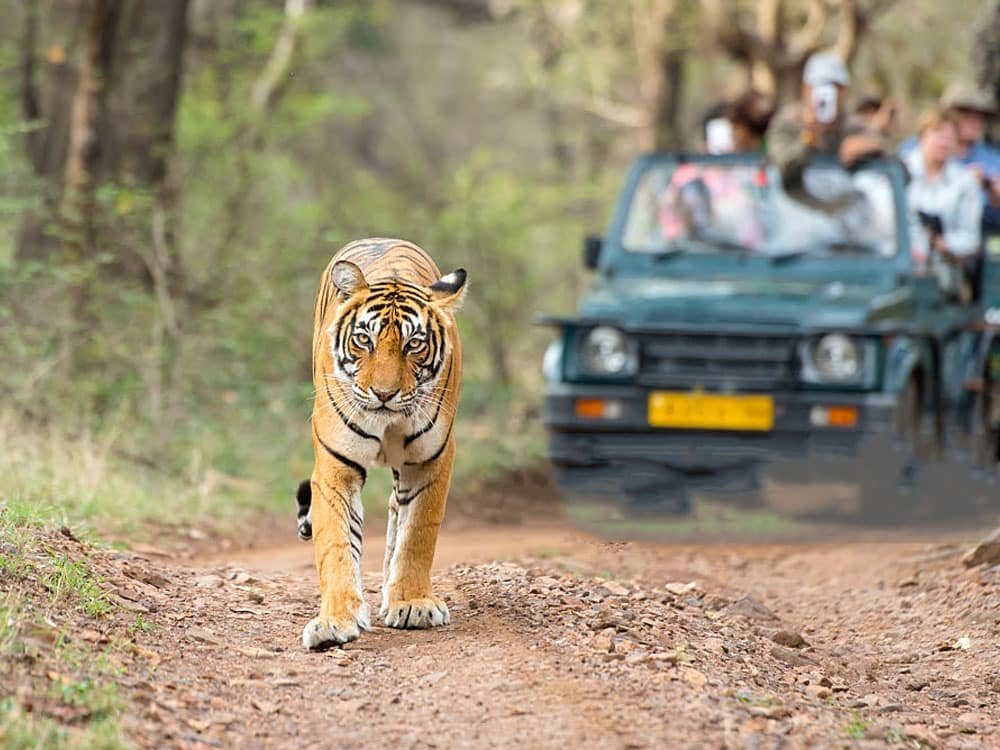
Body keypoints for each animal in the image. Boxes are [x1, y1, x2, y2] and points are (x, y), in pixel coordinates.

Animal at [296, 239, 468, 652]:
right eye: (364, 340)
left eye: (413, 344)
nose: (384, 394)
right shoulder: (335, 467)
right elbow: (337, 544)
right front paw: (335, 621)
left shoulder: (431, 461)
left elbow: (418, 533)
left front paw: (412, 603)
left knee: (396, 510)